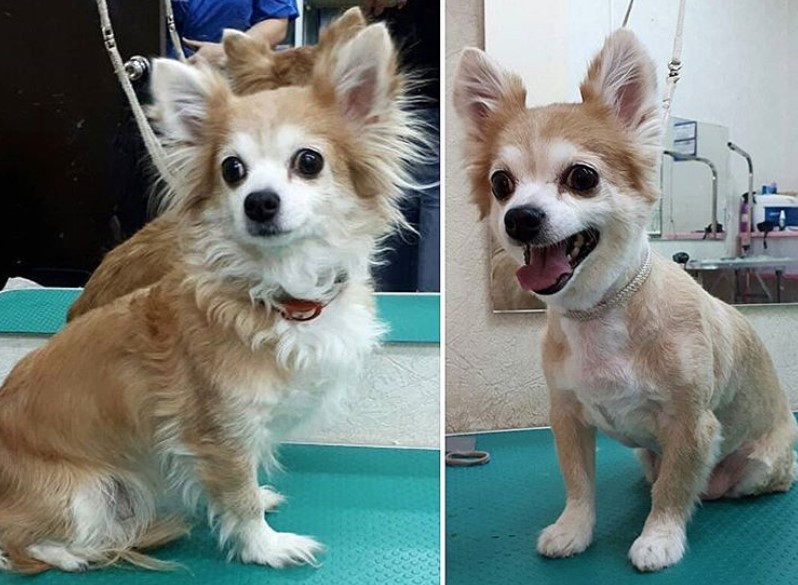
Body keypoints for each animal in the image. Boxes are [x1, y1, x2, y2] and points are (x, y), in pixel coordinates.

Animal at [0, 21, 422, 572]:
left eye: (309, 162)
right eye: (232, 170)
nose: (259, 202)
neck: (280, 294)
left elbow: (245, 481)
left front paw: (261, 501)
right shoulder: (221, 432)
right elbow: (238, 494)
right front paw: (265, 546)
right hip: (82, 493)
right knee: (18, 544)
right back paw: (80, 553)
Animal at [456, 30, 798, 572]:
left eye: (582, 178)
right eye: (500, 184)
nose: (520, 217)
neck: (598, 312)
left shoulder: (692, 425)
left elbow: (675, 490)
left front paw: (660, 538)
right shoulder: (568, 416)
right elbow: (578, 485)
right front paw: (573, 530)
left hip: (759, 465)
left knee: (721, 482)